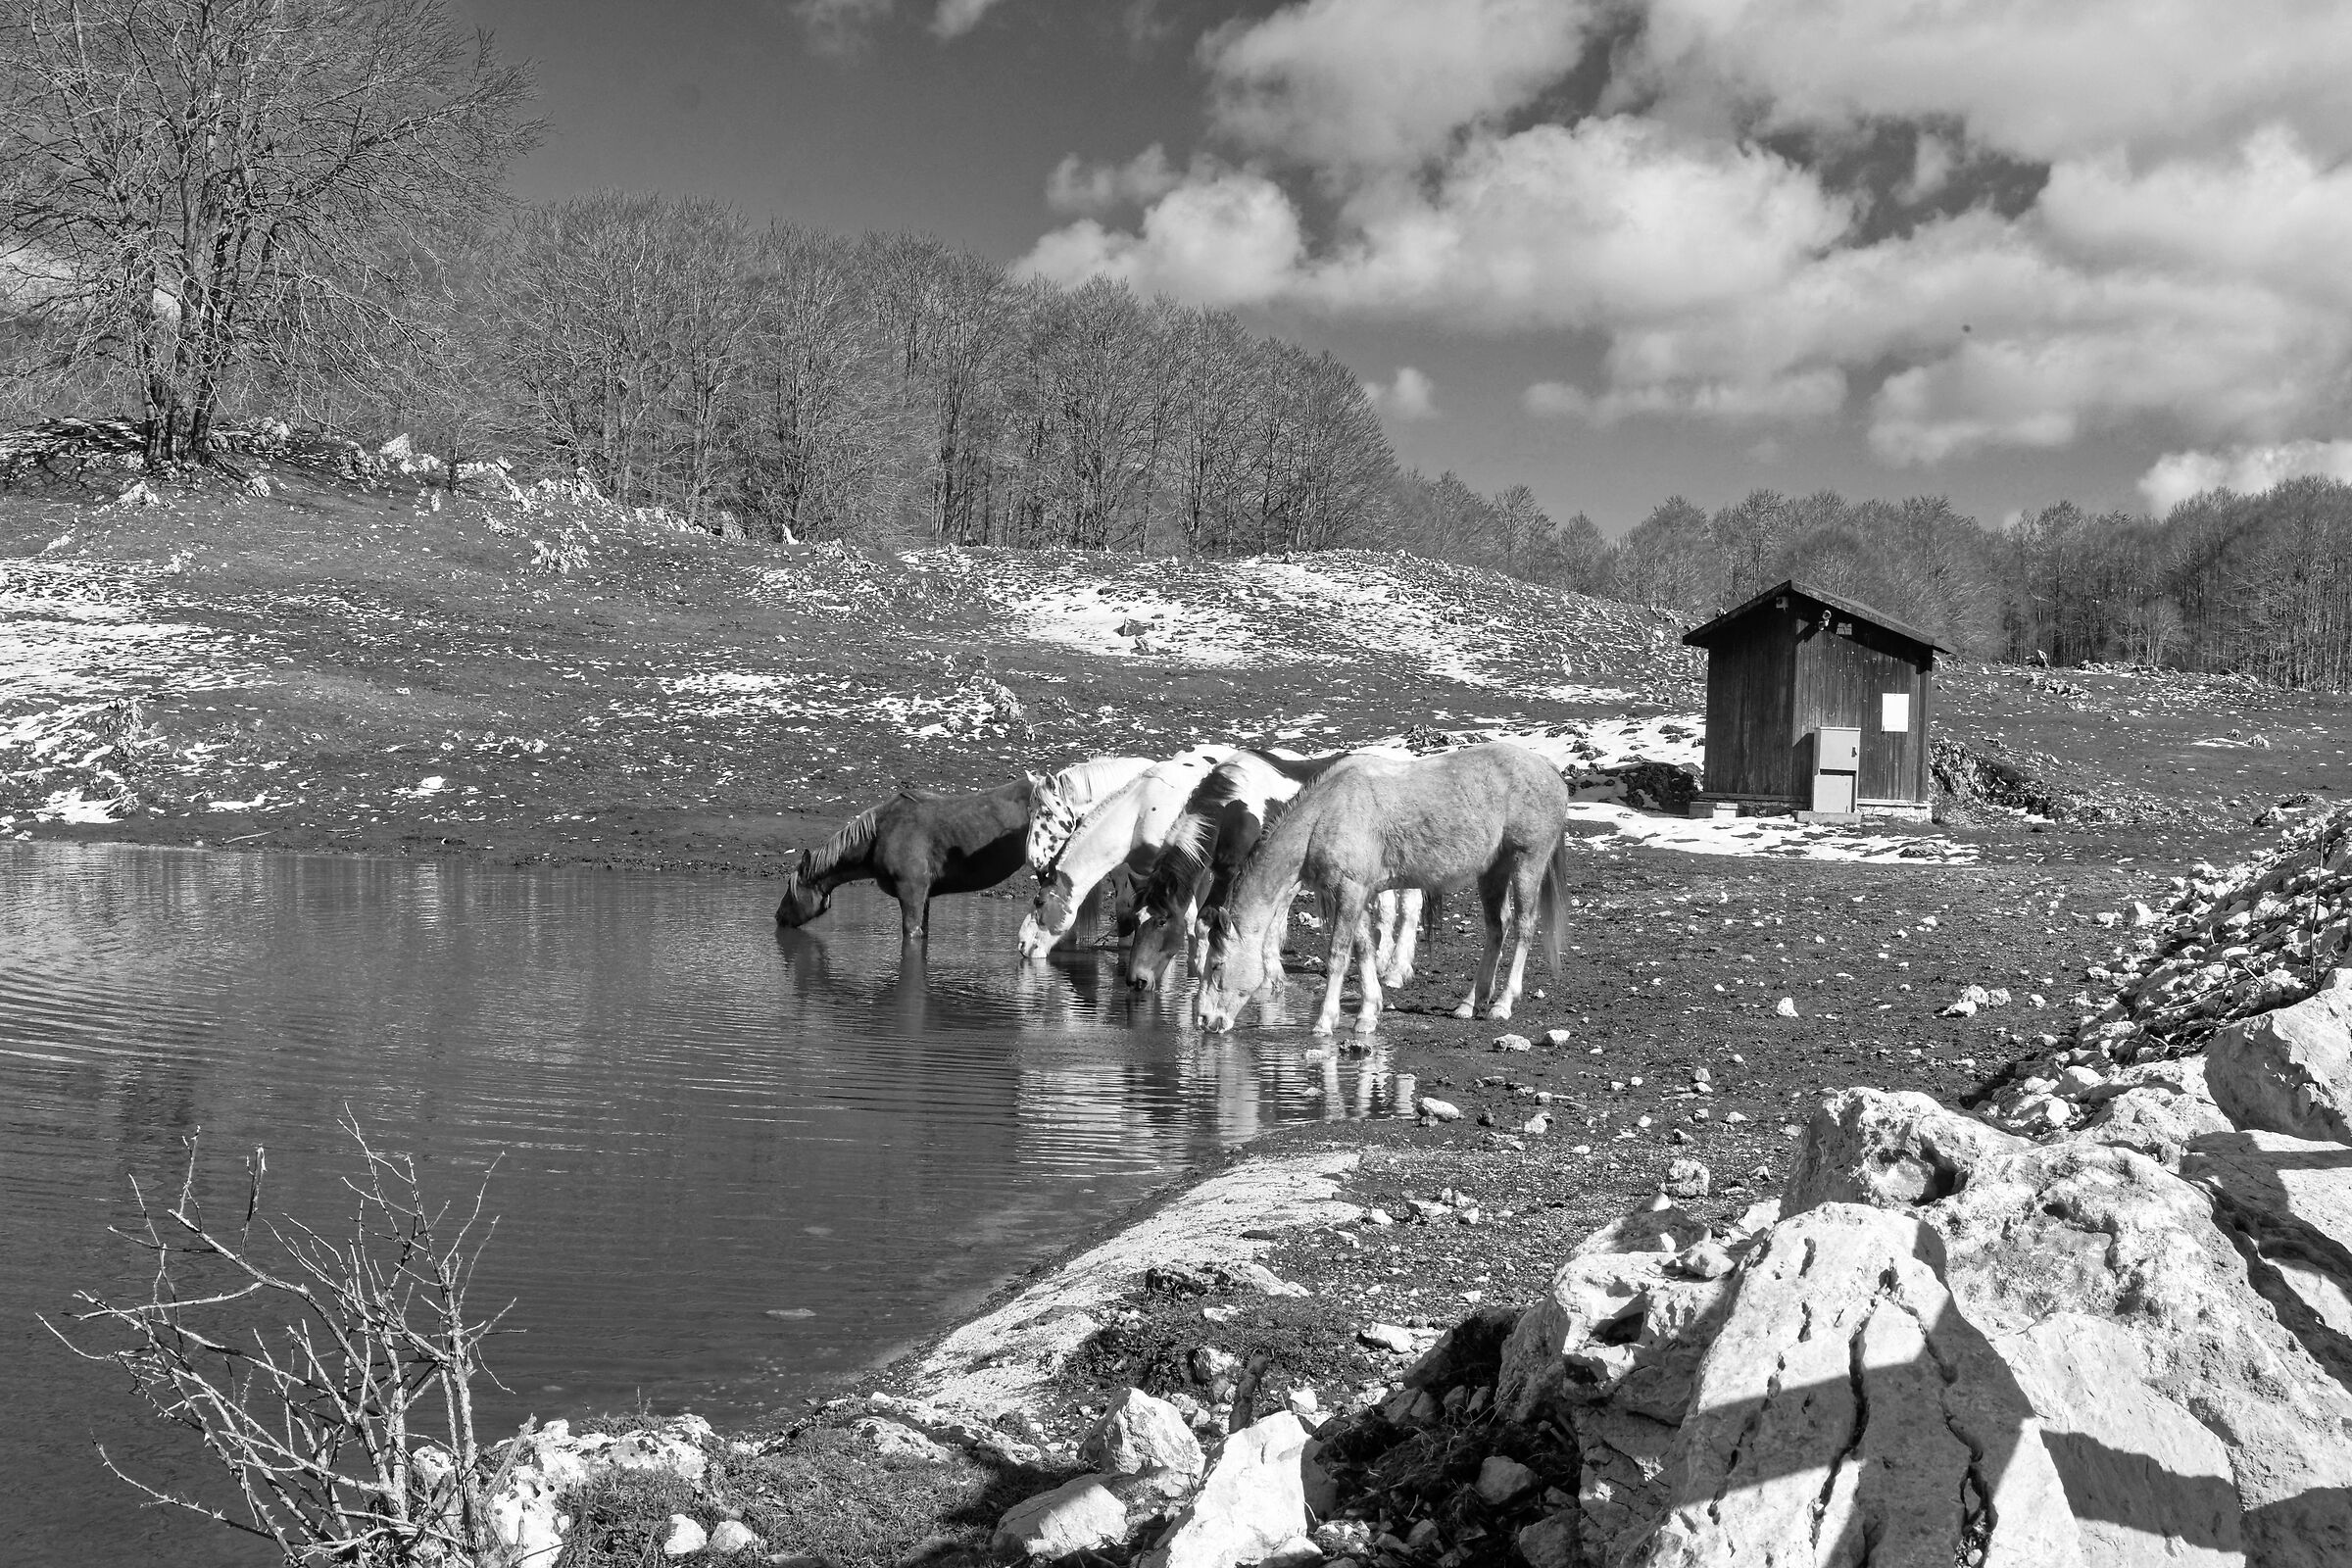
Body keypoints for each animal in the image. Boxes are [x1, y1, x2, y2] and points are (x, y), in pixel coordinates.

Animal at [1194, 743, 1574, 1037]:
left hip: (1527, 863)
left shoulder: (1350, 890)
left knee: (1524, 926)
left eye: (1216, 965)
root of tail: (1549, 769)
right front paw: (1367, 1014)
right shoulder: (1356, 894)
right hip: (1492, 872)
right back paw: (1470, 1003)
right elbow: (1363, 949)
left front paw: (1325, 1021)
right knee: (1497, 927)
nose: (1204, 1020)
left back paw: (1503, 1005)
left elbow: (1338, 954)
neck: (1326, 815)